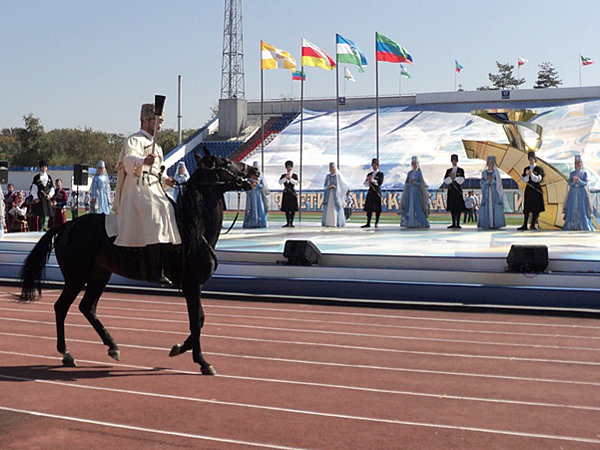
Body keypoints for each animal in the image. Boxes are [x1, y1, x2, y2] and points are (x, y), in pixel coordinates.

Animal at [19, 149, 258, 375]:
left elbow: (200, 320)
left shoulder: (194, 286)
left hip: (99, 275)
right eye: (225, 162)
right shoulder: (192, 285)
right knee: (61, 307)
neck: (194, 227)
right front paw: (201, 360)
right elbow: (196, 321)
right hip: (76, 278)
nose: (254, 171)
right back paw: (66, 353)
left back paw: (112, 345)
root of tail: (68, 225)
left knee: (87, 307)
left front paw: (179, 348)